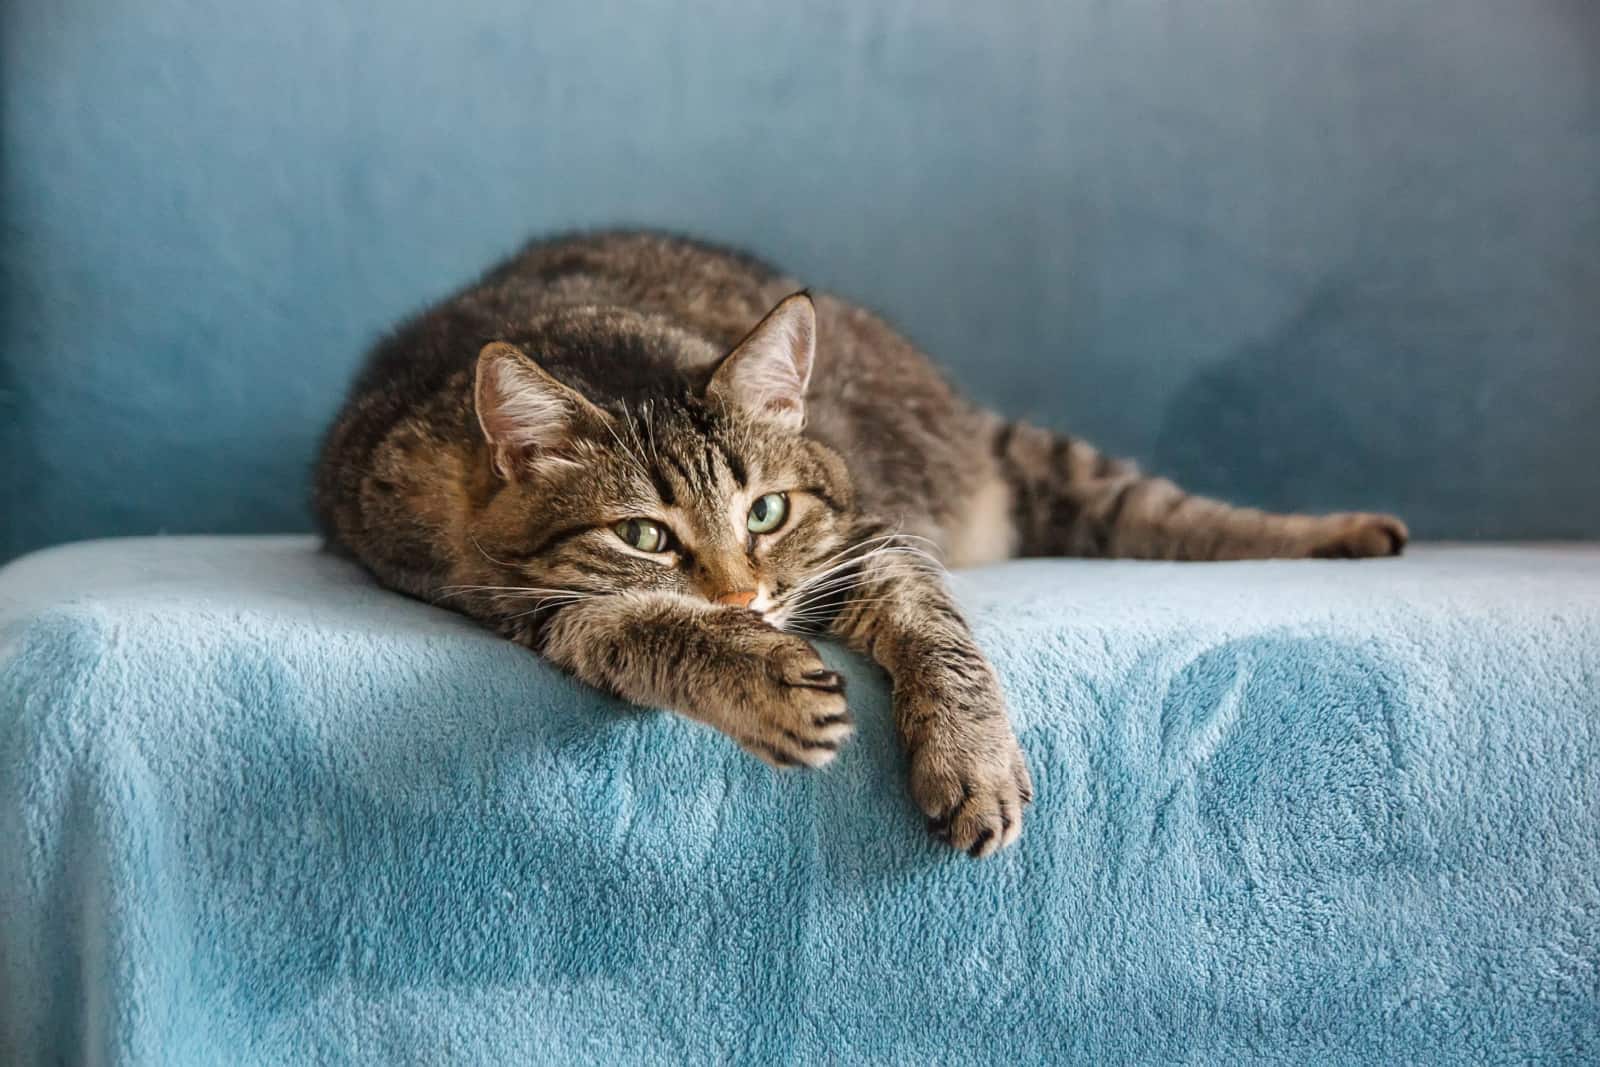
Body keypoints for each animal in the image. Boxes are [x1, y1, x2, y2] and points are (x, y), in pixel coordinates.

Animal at [318, 231, 1408, 857]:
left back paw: (1348, 532)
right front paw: (758, 674)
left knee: (1176, 514)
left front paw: (971, 756)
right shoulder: (508, 597)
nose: (744, 600)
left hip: (1047, 468)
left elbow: (940, 635)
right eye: (642, 534)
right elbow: (636, 621)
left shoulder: (869, 538)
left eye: (765, 512)